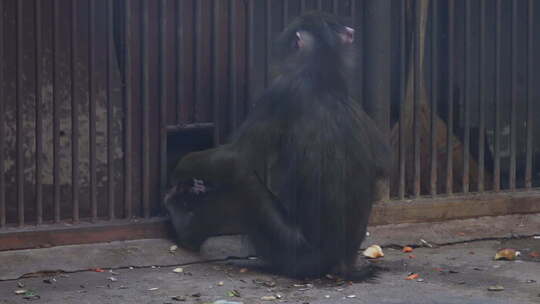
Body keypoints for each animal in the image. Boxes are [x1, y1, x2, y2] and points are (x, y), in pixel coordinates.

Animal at [165, 11, 392, 282]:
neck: (321, 77)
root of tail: (340, 265)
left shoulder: (279, 92)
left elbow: (236, 158)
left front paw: (181, 168)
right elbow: (382, 164)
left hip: (293, 253)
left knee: (242, 187)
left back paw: (186, 230)